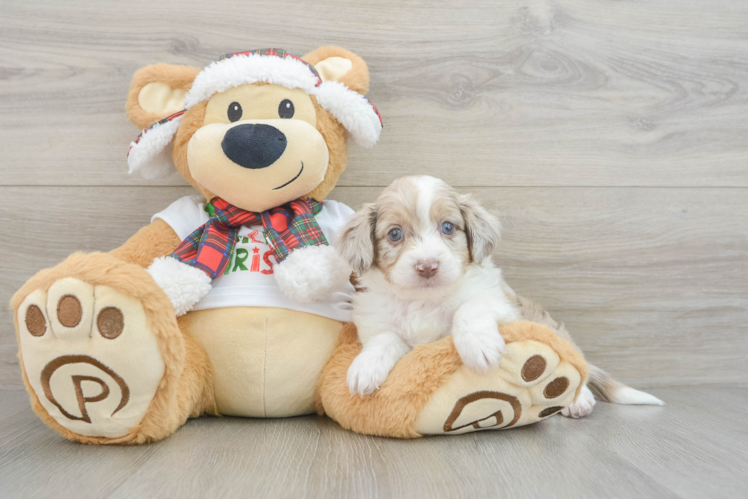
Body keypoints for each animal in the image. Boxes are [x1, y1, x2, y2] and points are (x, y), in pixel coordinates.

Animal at [336, 176, 524, 398]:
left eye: (448, 227)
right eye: (394, 233)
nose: (427, 267)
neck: (424, 300)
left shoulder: (505, 306)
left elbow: (471, 307)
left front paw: (479, 344)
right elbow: (384, 338)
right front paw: (366, 366)